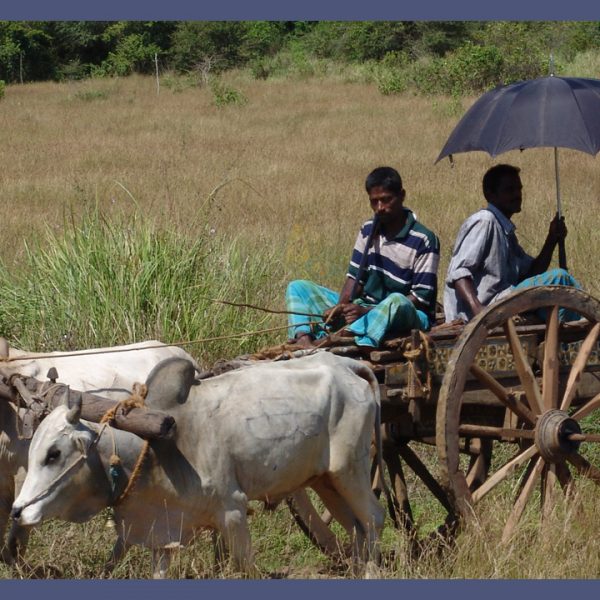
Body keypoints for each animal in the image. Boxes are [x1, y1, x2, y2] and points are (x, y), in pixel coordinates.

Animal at [11, 351, 385, 578]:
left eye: (54, 454)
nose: (16, 512)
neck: (154, 448)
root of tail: (345, 364)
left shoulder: (233, 511)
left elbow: (244, 567)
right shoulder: (161, 533)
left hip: (350, 470)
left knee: (373, 518)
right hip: (325, 480)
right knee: (356, 527)